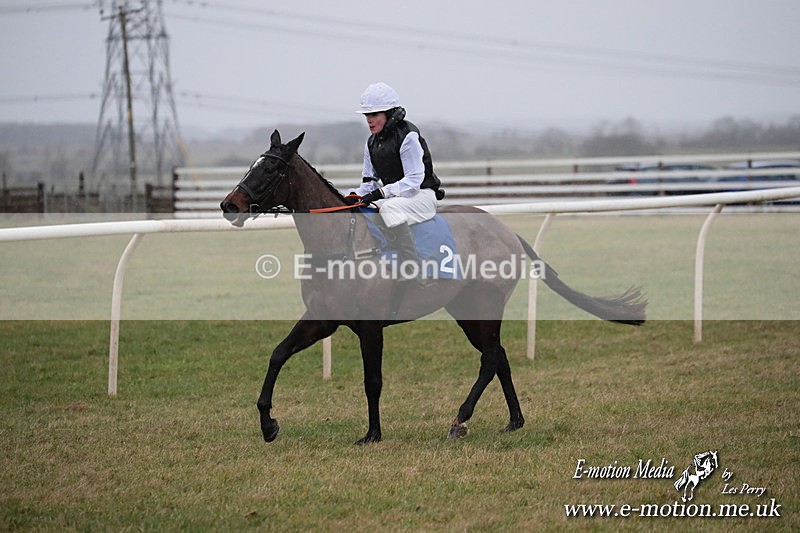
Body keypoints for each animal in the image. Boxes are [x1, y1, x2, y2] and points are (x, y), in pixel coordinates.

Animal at [220, 130, 647, 444]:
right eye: (253, 163)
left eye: (270, 169)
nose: (229, 205)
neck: (344, 241)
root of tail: (507, 230)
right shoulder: (321, 318)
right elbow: (277, 354)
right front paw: (268, 424)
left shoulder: (370, 327)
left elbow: (372, 380)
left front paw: (372, 434)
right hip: (466, 311)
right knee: (499, 357)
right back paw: (514, 420)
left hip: (485, 304)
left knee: (489, 359)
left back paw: (460, 419)